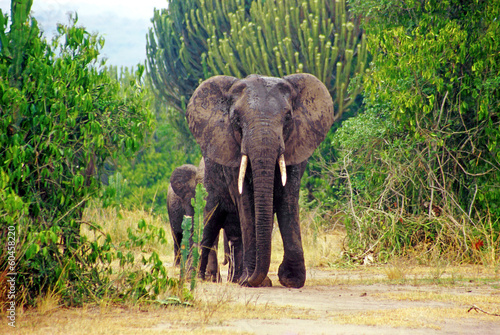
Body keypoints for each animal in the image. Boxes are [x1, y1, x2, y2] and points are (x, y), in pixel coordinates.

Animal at [188, 74, 336, 288]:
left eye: (288, 118)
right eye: (237, 120)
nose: (253, 278)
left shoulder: (295, 147)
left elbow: (288, 199)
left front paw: (291, 280)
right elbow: (246, 203)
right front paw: (253, 280)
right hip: (208, 181)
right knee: (210, 222)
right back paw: (203, 277)